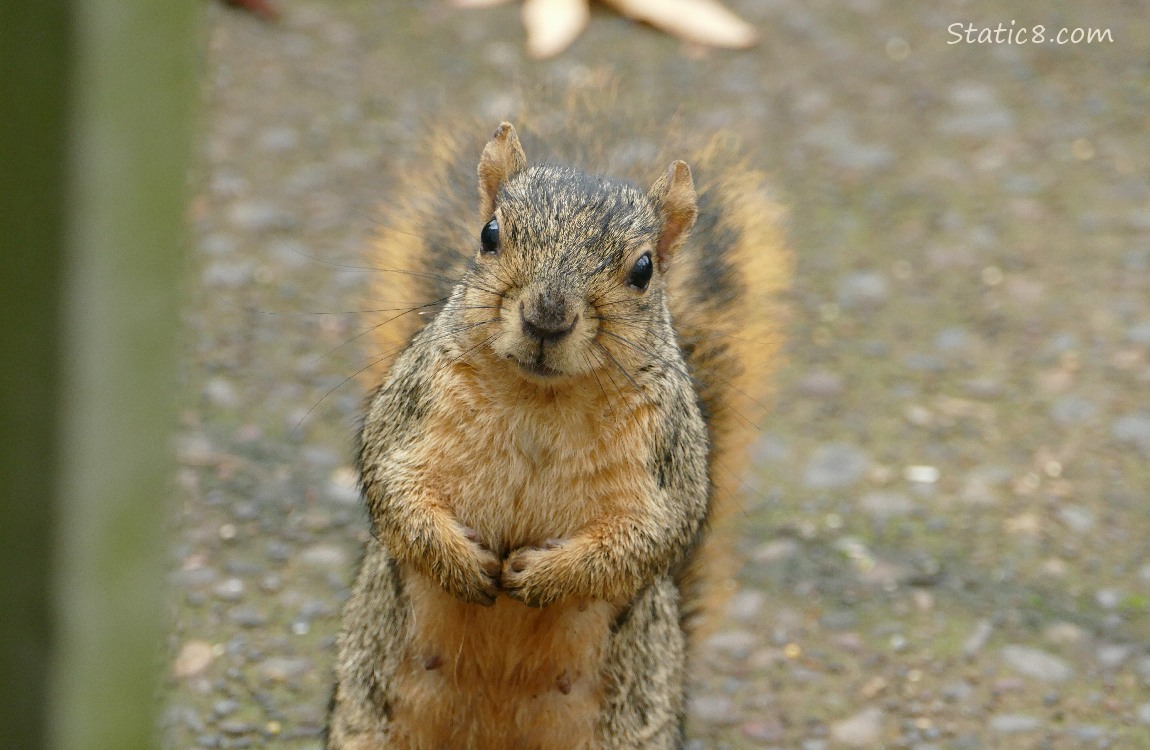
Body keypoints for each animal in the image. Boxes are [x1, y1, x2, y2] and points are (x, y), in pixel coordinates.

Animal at [324, 93, 791, 750]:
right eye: (490, 234)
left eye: (644, 270)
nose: (547, 314)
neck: (540, 399)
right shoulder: (408, 414)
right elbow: (395, 493)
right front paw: (463, 564)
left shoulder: (666, 465)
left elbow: (650, 537)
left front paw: (541, 577)